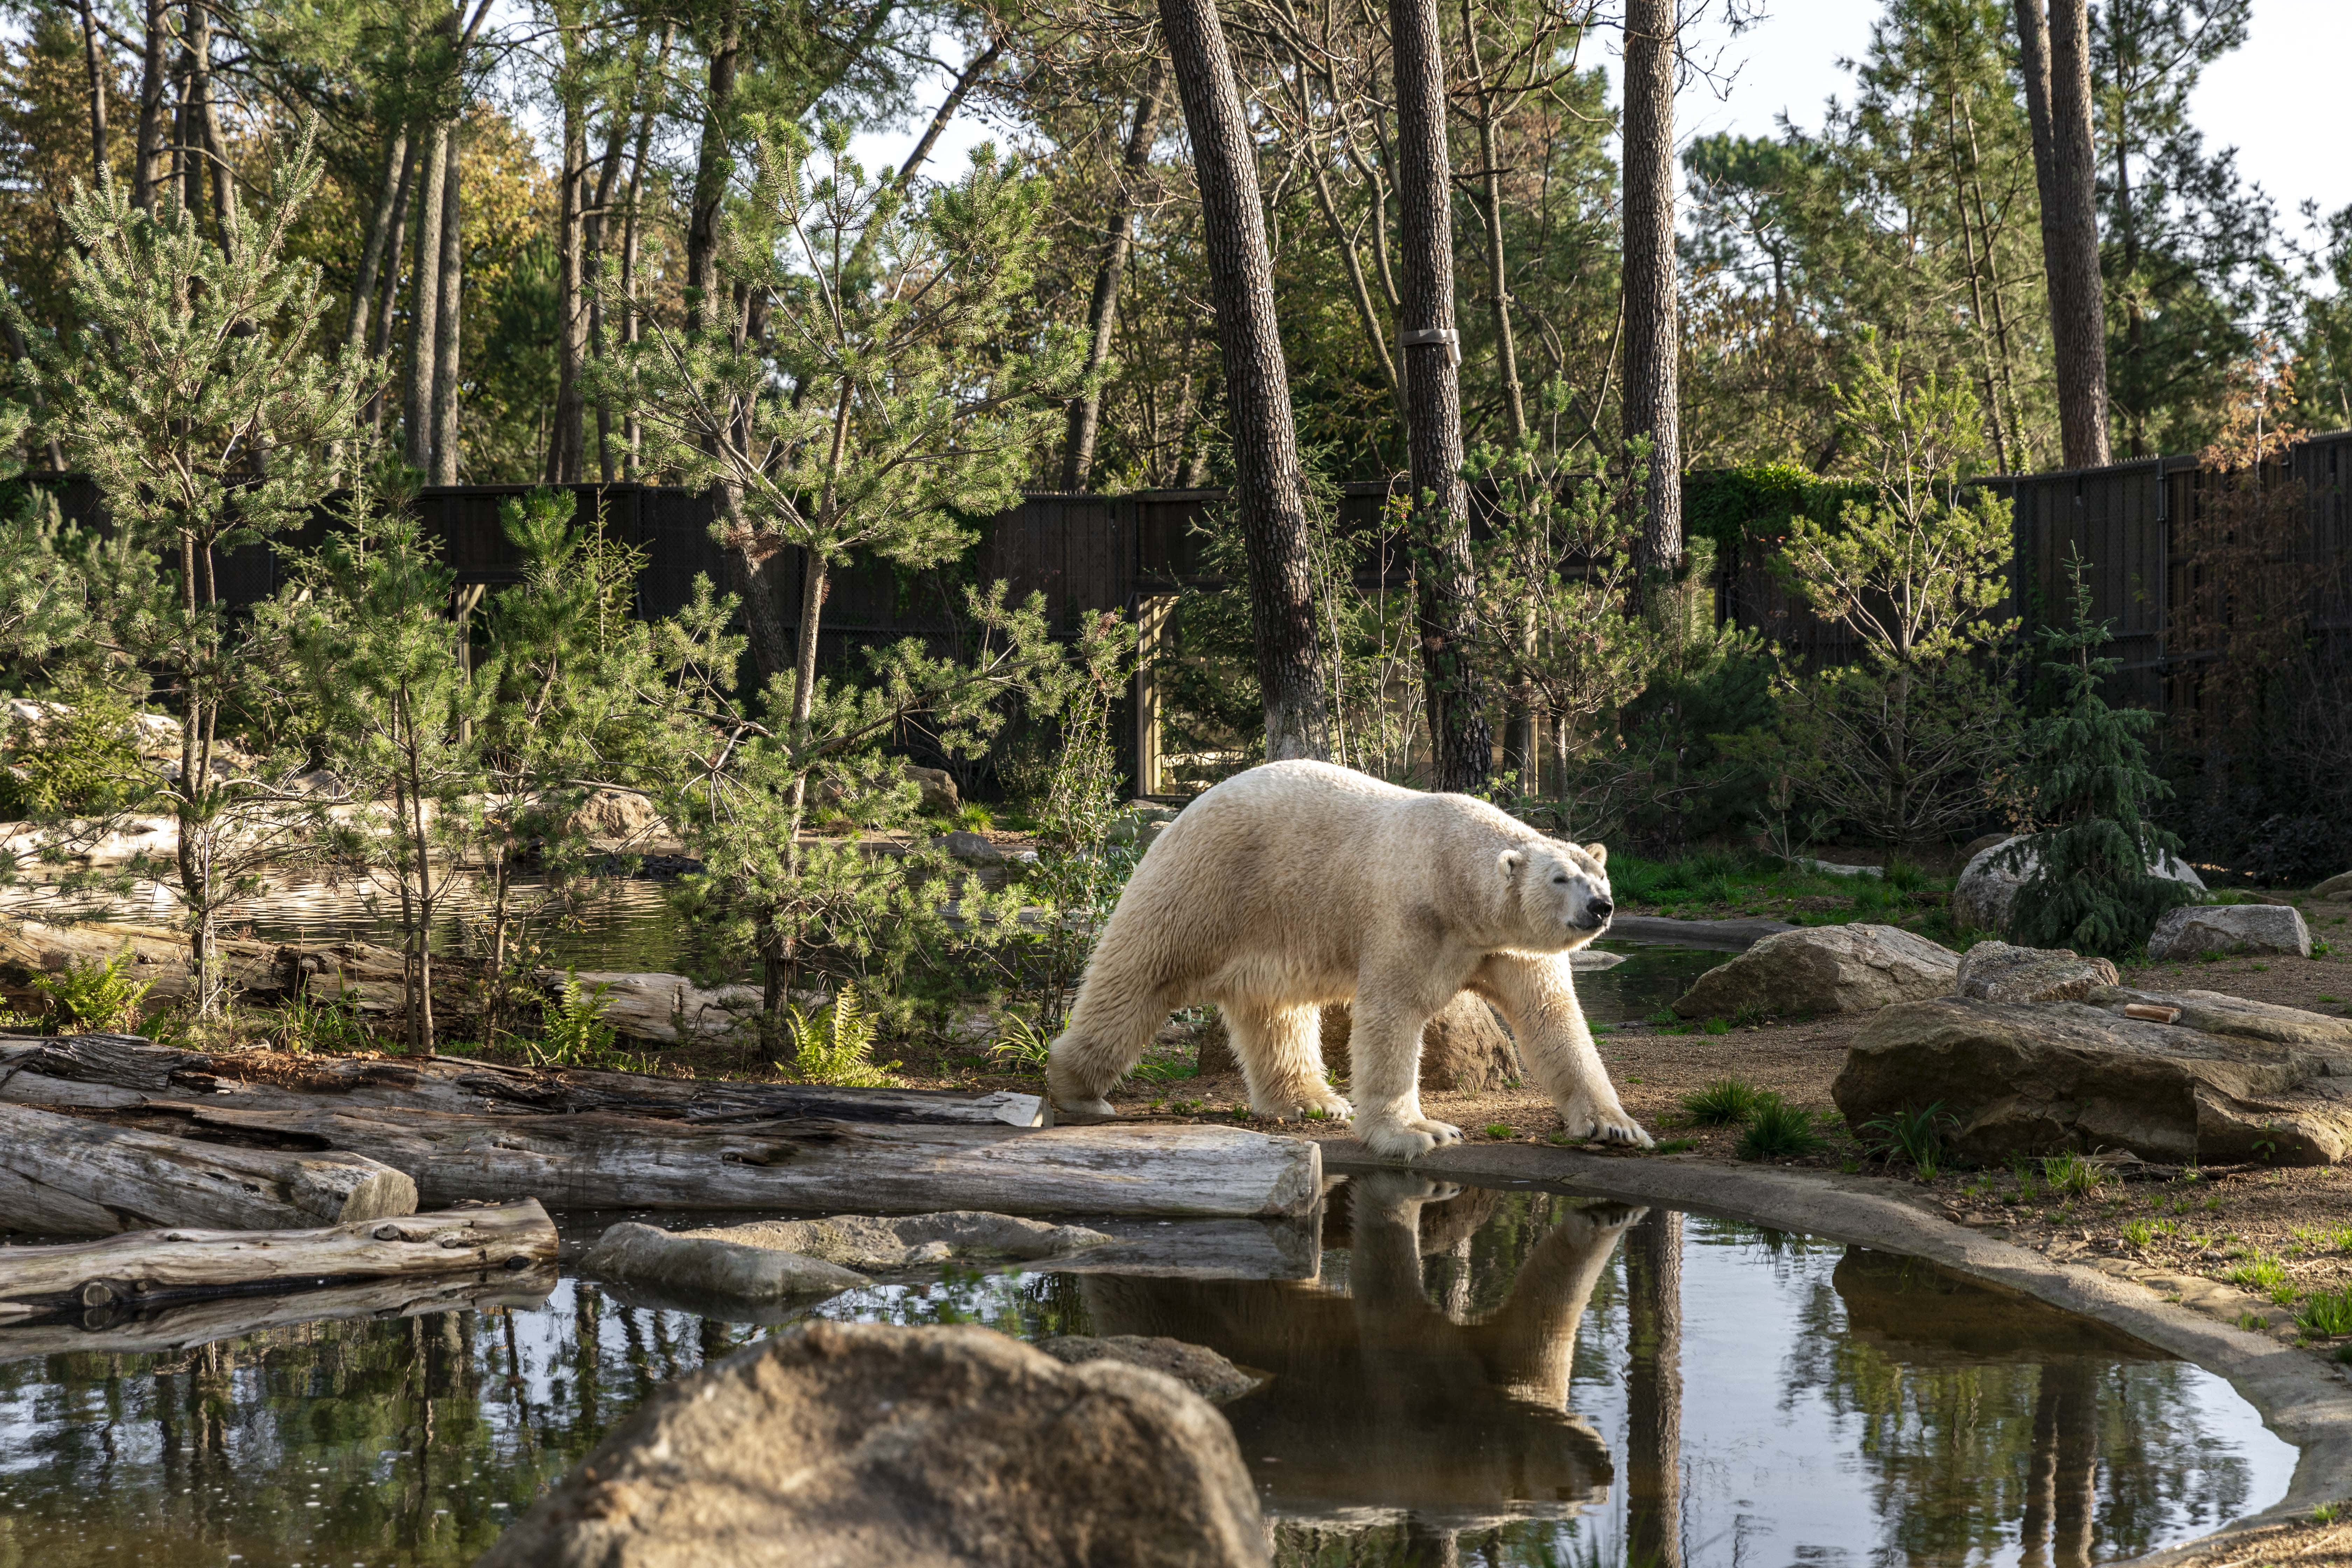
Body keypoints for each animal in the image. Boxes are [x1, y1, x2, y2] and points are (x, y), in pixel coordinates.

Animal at [1054, 766, 1656, 1161]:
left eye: (1599, 875)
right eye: (1560, 878)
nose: (1601, 907)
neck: (1454, 878)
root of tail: (1186, 809)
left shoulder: (1507, 946)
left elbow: (1552, 1020)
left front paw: (1617, 1127)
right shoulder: (1408, 916)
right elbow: (1392, 1012)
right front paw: (1420, 1132)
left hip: (1271, 923)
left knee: (1275, 1012)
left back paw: (1313, 1102)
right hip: (1205, 888)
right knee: (1138, 977)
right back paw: (1077, 1089)